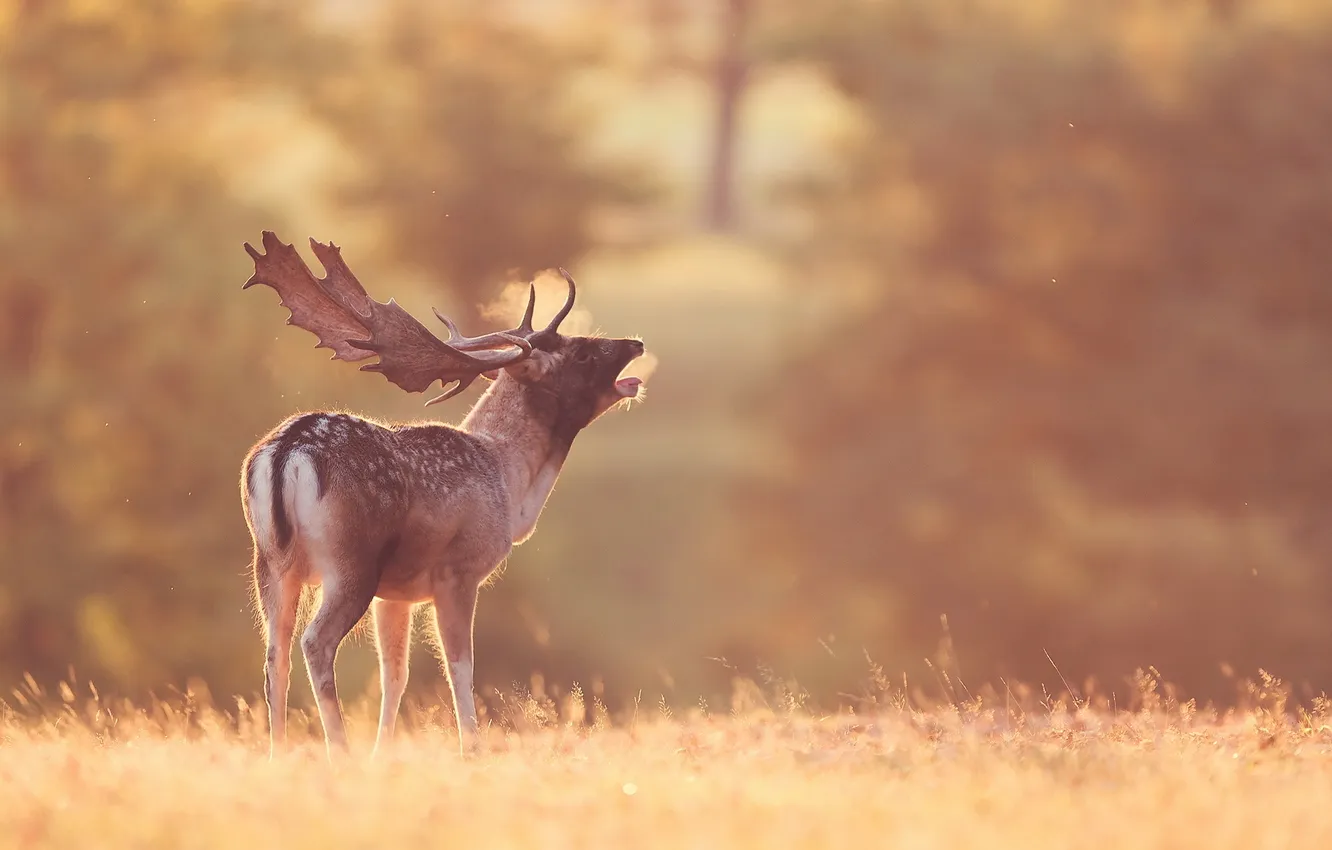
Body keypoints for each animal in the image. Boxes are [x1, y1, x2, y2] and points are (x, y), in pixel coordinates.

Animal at [237, 232, 647, 758]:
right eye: (580, 353)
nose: (636, 342)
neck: (509, 483)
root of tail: (286, 450)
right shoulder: (458, 571)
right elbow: (460, 667)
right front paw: (472, 750)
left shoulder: (396, 594)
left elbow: (395, 675)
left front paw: (384, 754)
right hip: (350, 564)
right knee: (315, 643)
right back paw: (340, 752)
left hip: (269, 563)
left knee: (275, 654)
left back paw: (279, 754)